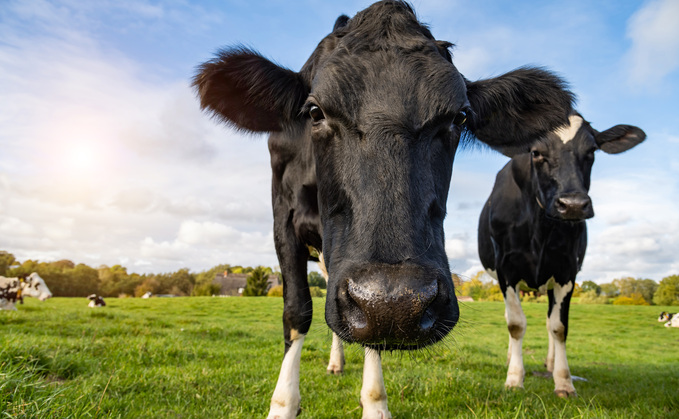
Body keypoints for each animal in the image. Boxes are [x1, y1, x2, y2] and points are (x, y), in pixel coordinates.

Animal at [194, 1, 575, 417]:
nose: (395, 302)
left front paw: (375, 402)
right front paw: (283, 403)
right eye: (314, 111)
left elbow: (372, 335)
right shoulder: (283, 220)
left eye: (459, 117)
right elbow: (297, 312)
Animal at [478, 112, 645, 397]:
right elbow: (516, 324)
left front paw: (564, 381)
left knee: (549, 322)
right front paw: (514, 378)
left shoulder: (566, 270)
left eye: (592, 151)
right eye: (536, 152)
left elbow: (559, 327)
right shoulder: (506, 268)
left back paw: (551, 361)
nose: (574, 205)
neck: (540, 227)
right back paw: (511, 357)